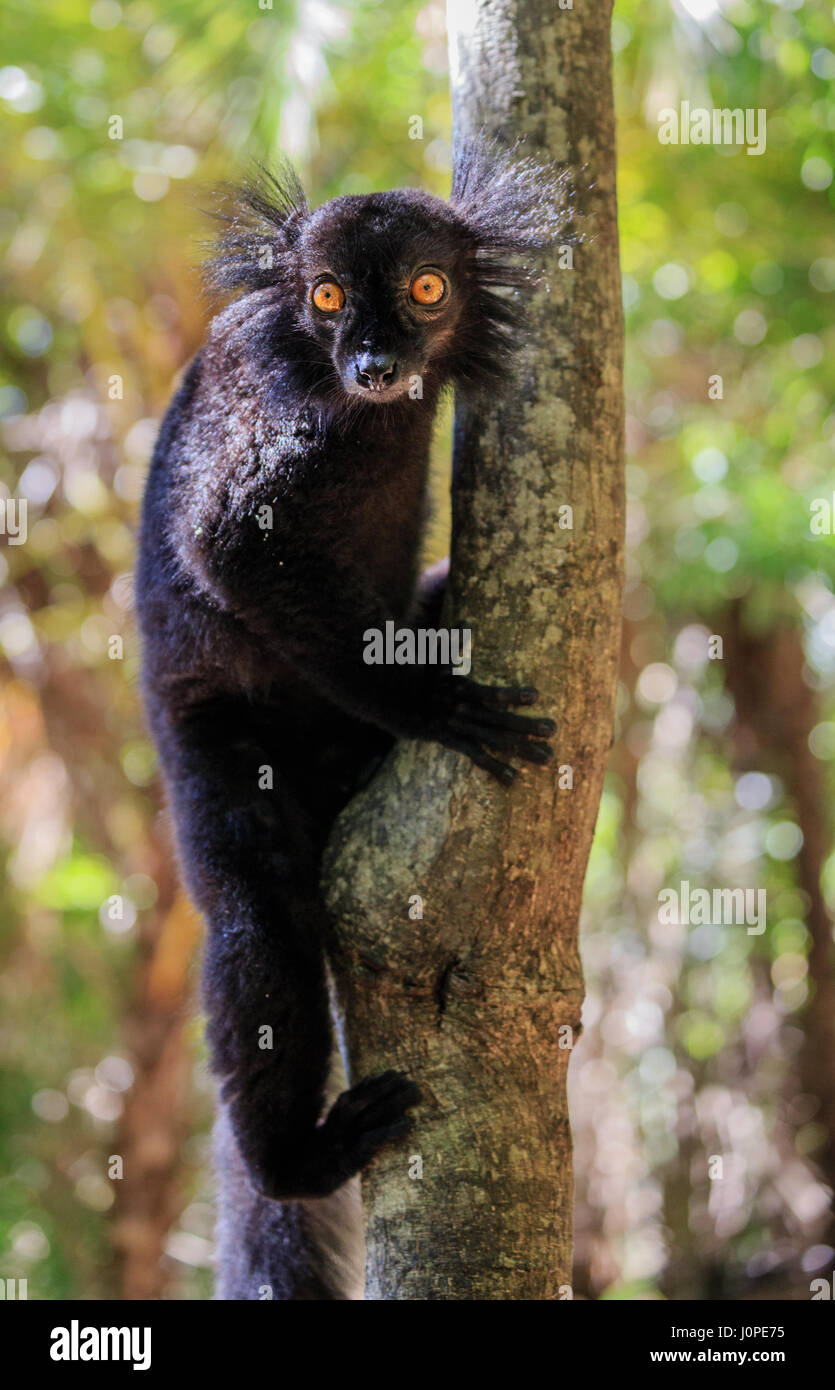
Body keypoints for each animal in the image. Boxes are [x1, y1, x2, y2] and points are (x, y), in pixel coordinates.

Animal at [136, 145, 568, 1299]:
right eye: (326, 298)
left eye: (425, 289)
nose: (373, 366)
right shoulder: (270, 394)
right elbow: (234, 539)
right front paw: (423, 698)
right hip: (210, 740)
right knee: (260, 919)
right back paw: (298, 1158)